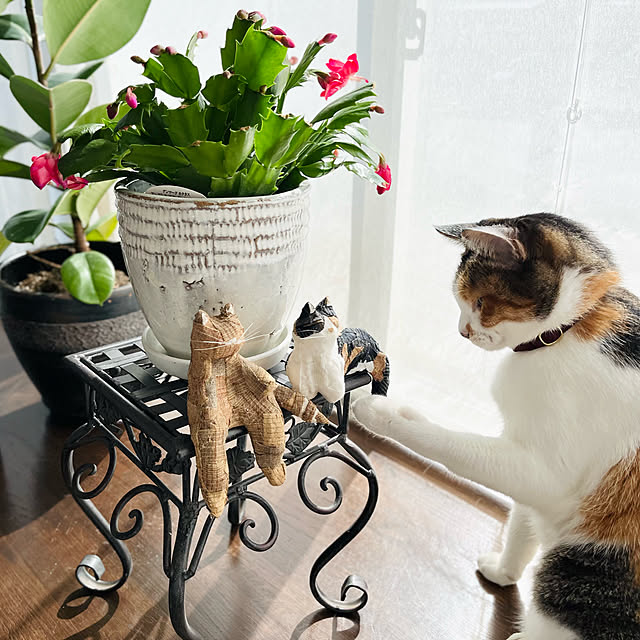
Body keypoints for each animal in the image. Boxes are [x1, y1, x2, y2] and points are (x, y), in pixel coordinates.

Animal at [353, 213, 640, 640]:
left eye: (479, 302)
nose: (462, 331)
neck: (569, 328)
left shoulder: (544, 472)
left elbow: (450, 444)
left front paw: (378, 411)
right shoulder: (522, 453)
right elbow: (520, 524)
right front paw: (503, 571)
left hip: (578, 574)